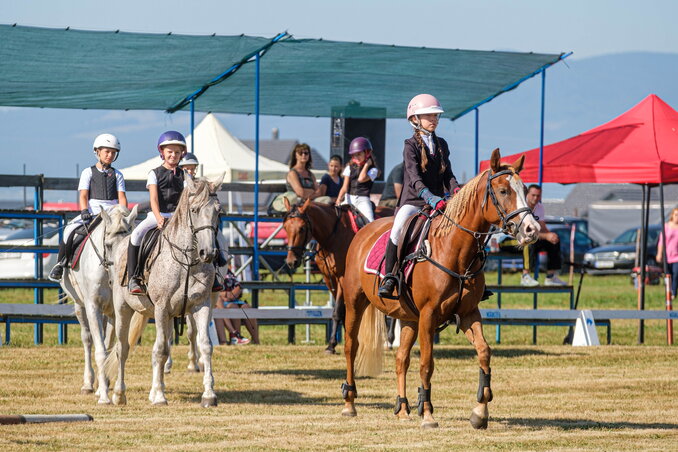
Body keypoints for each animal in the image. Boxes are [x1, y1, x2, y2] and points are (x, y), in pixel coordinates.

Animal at [60, 205, 138, 402]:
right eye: (109, 245)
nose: (118, 278)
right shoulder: (92, 307)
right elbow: (100, 351)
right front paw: (103, 395)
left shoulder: (115, 312)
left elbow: (111, 349)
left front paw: (105, 386)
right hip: (80, 306)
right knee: (87, 340)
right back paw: (88, 384)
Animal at [105, 177, 223, 406]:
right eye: (194, 210)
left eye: (218, 210)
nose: (208, 253)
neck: (187, 260)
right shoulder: (161, 308)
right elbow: (160, 350)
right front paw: (160, 396)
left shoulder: (201, 305)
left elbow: (205, 346)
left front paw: (209, 395)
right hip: (123, 309)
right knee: (122, 349)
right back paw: (119, 394)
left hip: (167, 317)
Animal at [284, 199, 396, 354]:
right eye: (285, 227)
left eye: (301, 228)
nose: (291, 261)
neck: (332, 237)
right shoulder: (329, 279)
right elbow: (342, 312)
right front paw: (342, 339)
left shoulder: (343, 278)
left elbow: (338, 310)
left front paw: (332, 344)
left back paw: (390, 340)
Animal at [342, 150, 540, 430]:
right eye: (503, 191)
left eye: (524, 189)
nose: (532, 230)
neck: (455, 250)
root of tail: (365, 229)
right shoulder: (429, 315)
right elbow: (427, 364)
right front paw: (427, 414)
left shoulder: (468, 314)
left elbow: (484, 352)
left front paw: (480, 412)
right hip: (354, 302)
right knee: (351, 346)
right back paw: (349, 404)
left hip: (408, 318)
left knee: (401, 358)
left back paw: (403, 408)